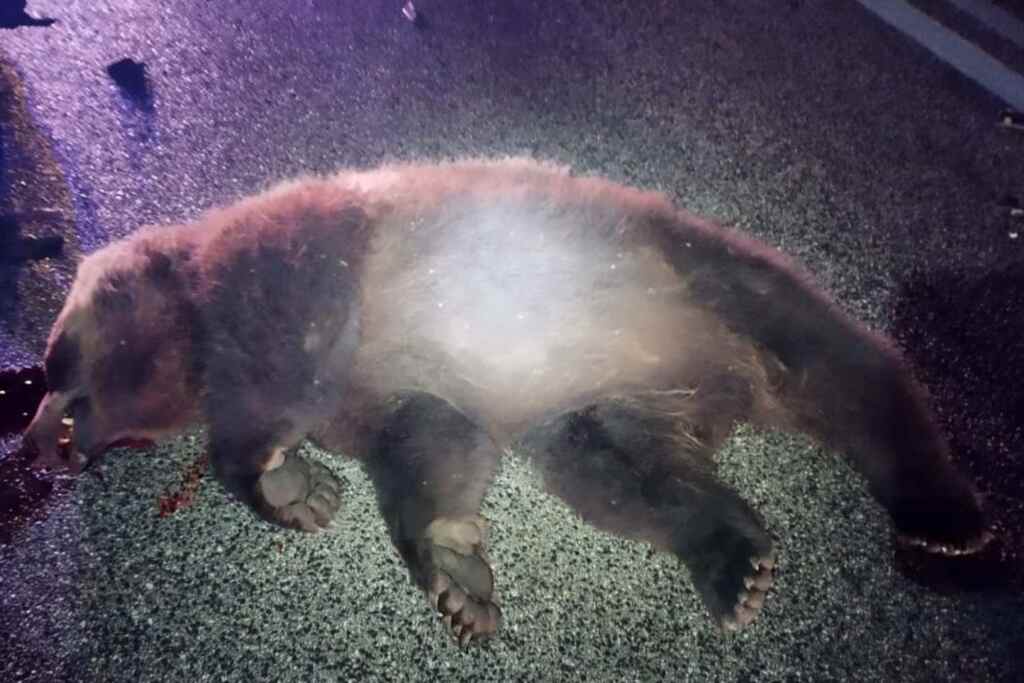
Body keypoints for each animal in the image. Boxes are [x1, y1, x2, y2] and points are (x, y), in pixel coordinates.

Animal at [23, 158, 992, 643]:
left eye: (50, 355)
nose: (35, 439)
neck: (197, 323)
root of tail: (723, 380)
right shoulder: (376, 382)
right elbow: (429, 437)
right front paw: (456, 578)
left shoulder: (296, 266)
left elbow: (289, 365)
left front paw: (276, 475)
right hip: (603, 398)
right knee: (626, 473)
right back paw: (732, 562)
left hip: (700, 274)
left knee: (845, 367)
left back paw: (946, 513)